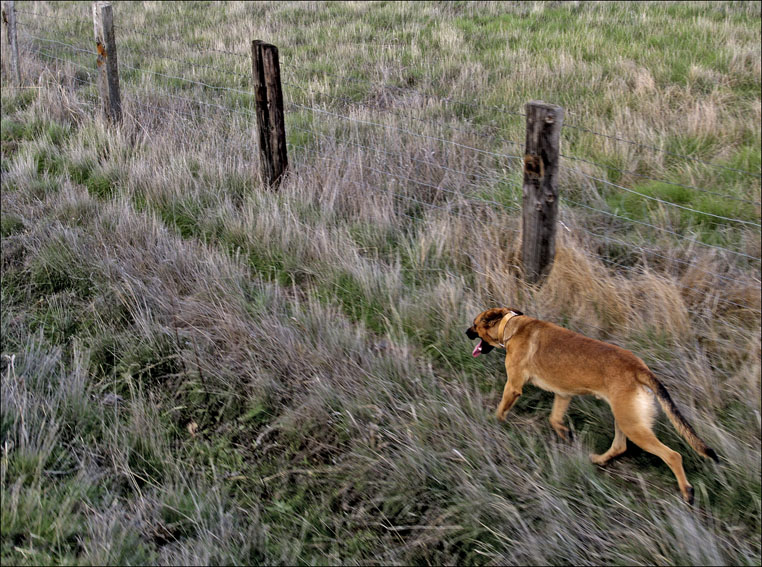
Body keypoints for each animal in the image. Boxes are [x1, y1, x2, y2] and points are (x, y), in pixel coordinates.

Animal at [464, 308, 720, 504]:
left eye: (475, 324)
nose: (466, 332)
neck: (511, 325)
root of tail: (639, 368)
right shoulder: (563, 394)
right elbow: (555, 419)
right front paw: (565, 435)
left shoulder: (514, 386)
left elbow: (501, 409)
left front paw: (492, 423)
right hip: (625, 419)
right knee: (619, 446)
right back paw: (598, 460)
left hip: (633, 426)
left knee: (673, 456)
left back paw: (687, 492)